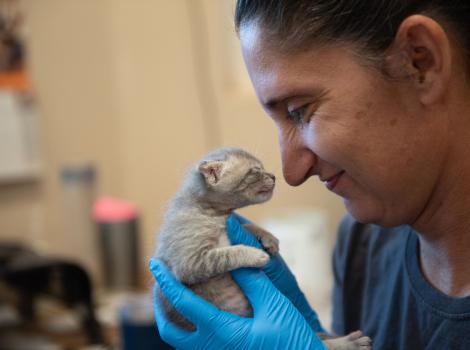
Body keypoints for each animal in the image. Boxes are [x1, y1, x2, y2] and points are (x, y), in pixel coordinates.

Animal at [154, 148, 370, 350]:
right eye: (255, 171)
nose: (273, 176)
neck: (217, 213)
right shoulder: (190, 261)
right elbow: (226, 253)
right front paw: (255, 254)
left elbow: (245, 226)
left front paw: (267, 237)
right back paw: (350, 342)